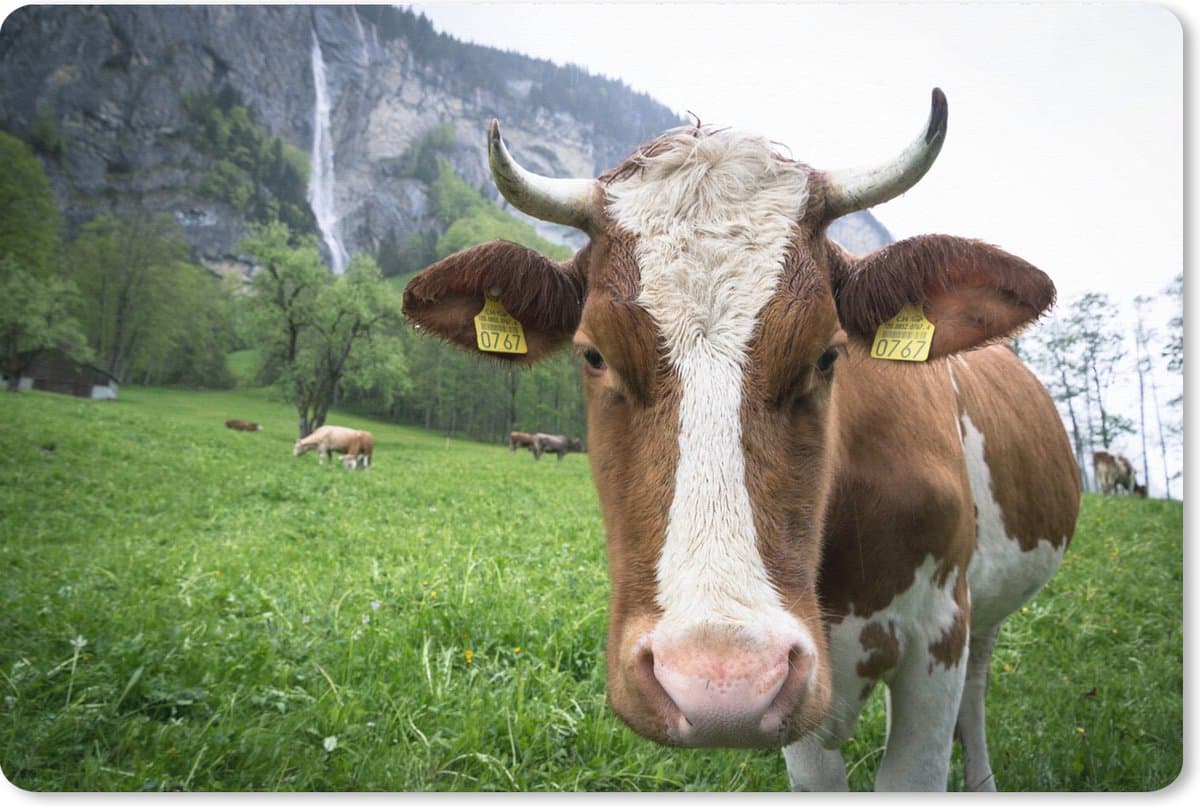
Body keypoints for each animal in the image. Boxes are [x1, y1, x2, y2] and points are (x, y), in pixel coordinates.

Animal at [402, 89, 1080, 791]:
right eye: (593, 354)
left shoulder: (938, 637)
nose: (719, 685)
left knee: (979, 681)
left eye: (828, 354)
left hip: (984, 617)